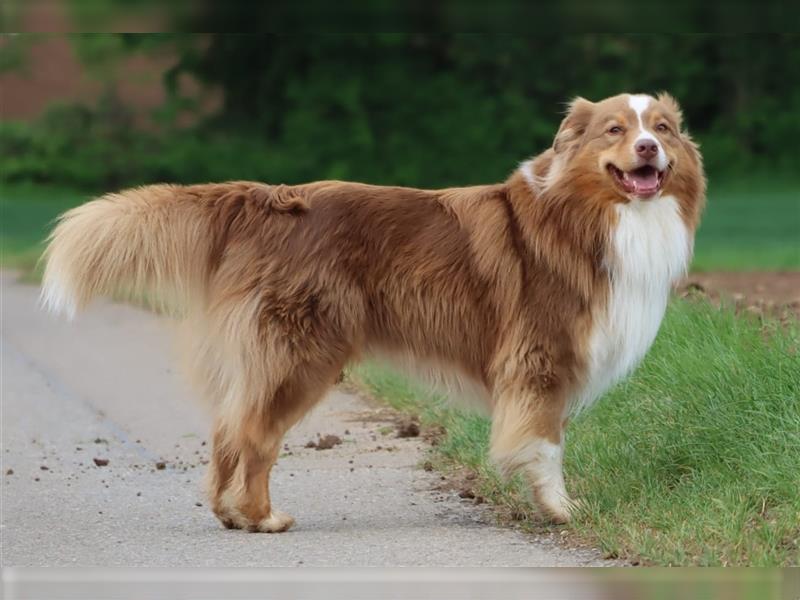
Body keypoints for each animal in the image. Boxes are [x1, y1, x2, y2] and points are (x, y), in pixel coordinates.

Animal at [40, 92, 704, 528]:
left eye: (663, 128)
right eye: (615, 130)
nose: (648, 147)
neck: (592, 213)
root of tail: (264, 199)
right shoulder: (538, 361)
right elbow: (544, 447)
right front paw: (562, 511)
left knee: (229, 425)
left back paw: (229, 514)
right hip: (301, 354)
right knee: (255, 432)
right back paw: (262, 517)